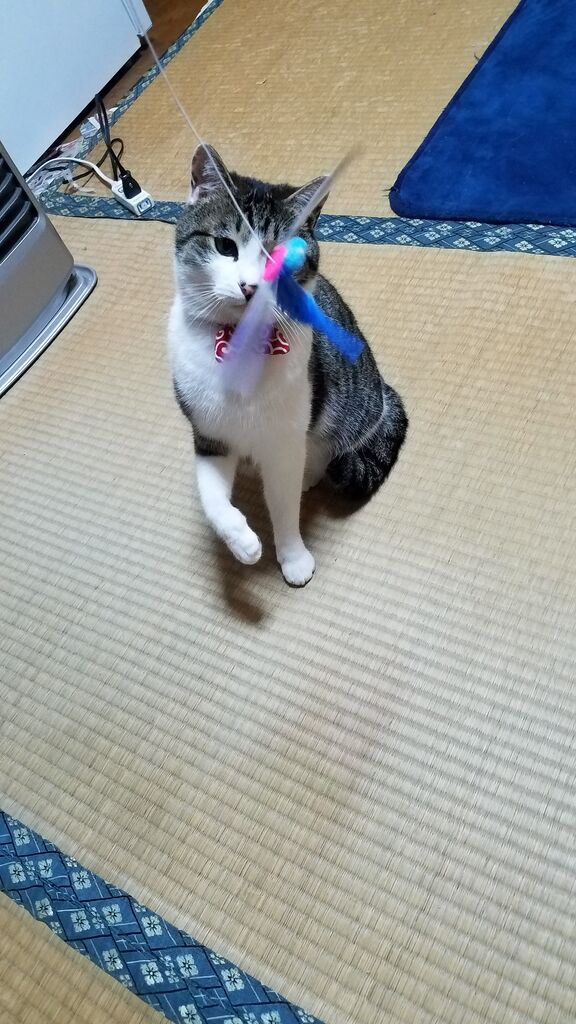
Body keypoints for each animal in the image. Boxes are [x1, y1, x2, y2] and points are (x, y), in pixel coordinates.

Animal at [168, 145, 407, 587]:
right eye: (225, 245)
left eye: (281, 256)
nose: (249, 286)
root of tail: (384, 389)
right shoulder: (209, 434)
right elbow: (211, 499)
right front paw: (242, 543)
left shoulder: (283, 444)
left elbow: (283, 506)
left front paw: (293, 558)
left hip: (341, 411)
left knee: (321, 454)